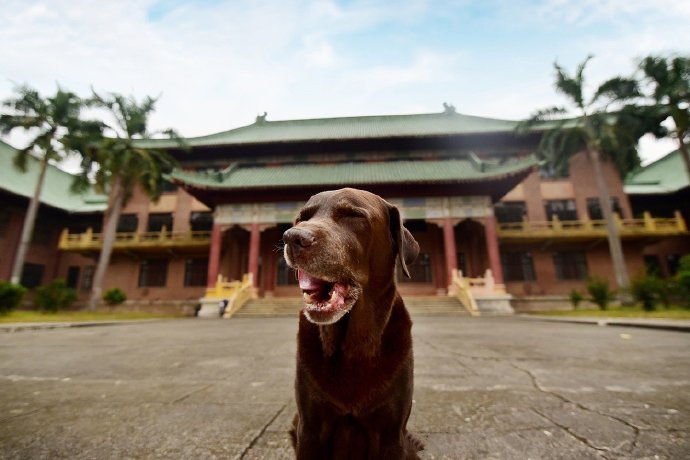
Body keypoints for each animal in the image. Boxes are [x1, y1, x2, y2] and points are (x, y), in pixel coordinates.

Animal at [282, 188, 422, 460]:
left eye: (353, 215)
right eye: (302, 218)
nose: (293, 237)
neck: (354, 345)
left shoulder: (391, 433)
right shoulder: (310, 428)